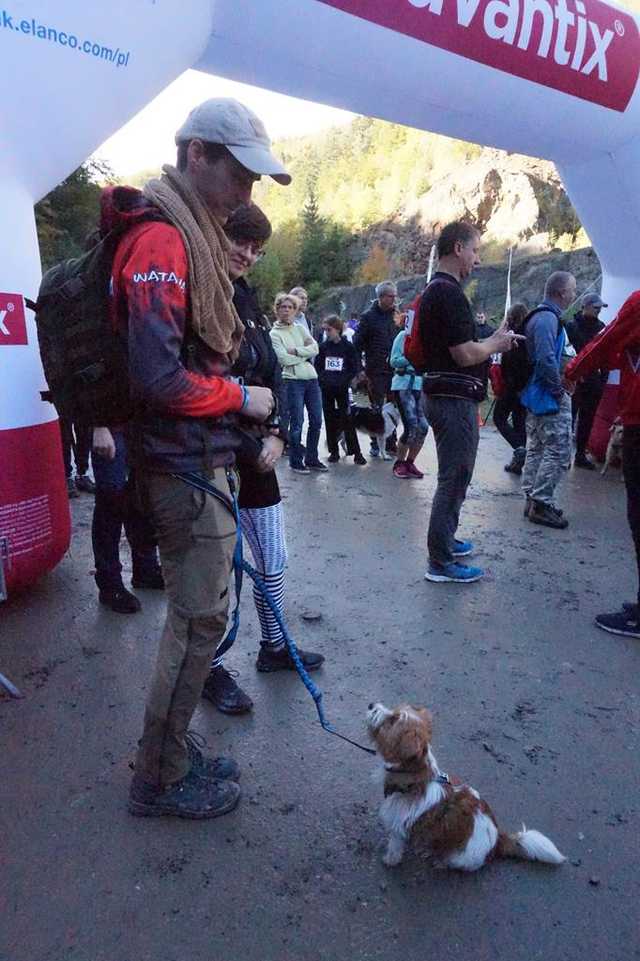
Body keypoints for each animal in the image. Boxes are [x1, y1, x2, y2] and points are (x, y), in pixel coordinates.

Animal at [364, 700, 564, 872]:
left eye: (392, 720)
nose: (371, 705)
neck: (415, 778)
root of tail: (497, 839)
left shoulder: (398, 827)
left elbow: (394, 848)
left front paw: (389, 861)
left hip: (459, 857)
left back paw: (438, 860)